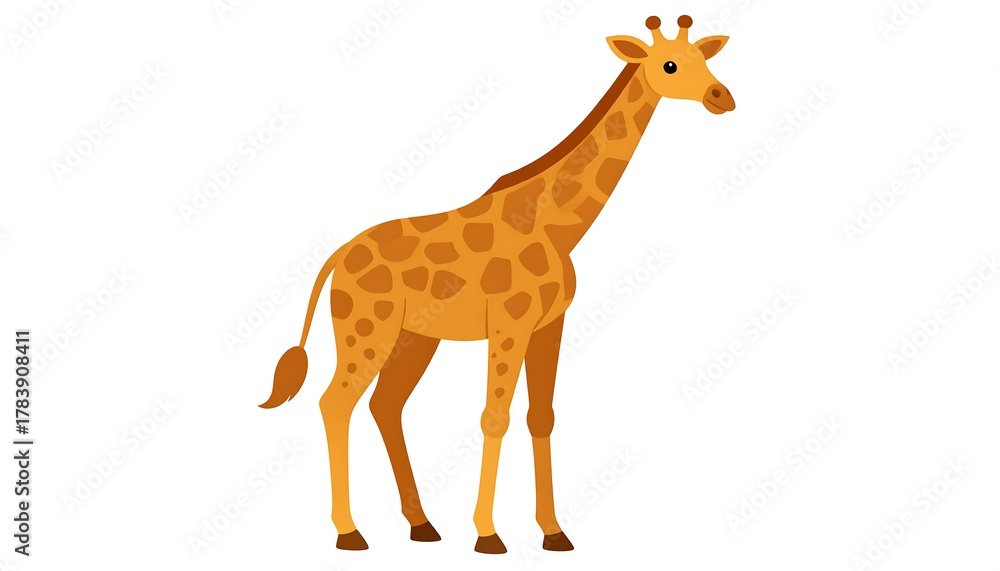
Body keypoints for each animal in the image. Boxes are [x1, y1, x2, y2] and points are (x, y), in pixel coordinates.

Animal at [260, 14, 735, 554]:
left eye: (704, 57)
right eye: (669, 64)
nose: (721, 96)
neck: (555, 225)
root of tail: (338, 256)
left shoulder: (549, 324)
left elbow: (540, 416)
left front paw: (553, 532)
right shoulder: (511, 321)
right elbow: (495, 416)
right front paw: (488, 534)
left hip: (413, 337)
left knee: (385, 405)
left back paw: (421, 525)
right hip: (366, 329)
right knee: (335, 403)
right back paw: (349, 531)